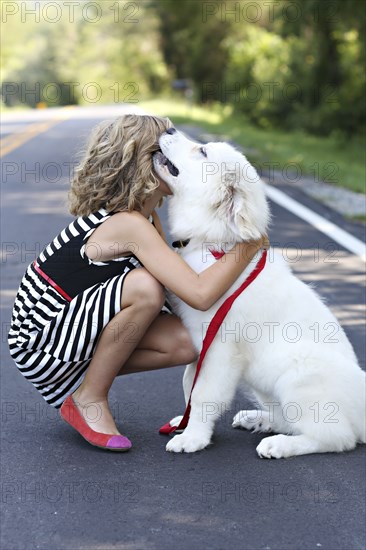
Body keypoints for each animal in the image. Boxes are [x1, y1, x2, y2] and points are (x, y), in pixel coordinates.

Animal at [153, 129, 364, 462]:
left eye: (202, 151)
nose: (170, 129)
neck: (212, 244)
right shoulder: (200, 342)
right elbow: (189, 383)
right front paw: (183, 424)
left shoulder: (220, 348)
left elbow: (202, 394)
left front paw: (193, 437)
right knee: (288, 420)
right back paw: (258, 420)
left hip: (299, 375)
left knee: (337, 437)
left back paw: (279, 445)